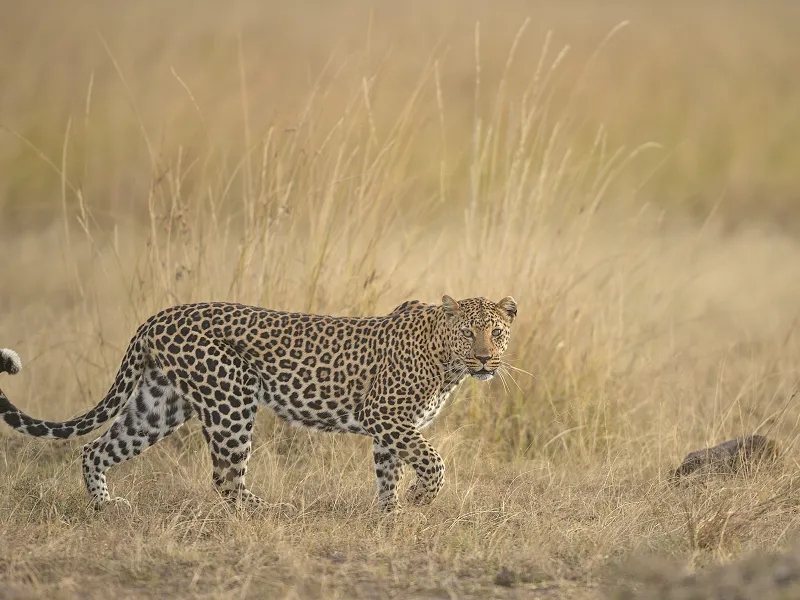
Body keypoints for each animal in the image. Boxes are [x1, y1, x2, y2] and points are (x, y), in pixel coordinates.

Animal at [0, 294, 517, 512]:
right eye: (468, 331)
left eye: (496, 331)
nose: (485, 357)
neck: (447, 363)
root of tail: (159, 316)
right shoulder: (385, 415)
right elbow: (433, 460)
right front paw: (418, 499)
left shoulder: (390, 427)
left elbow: (388, 470)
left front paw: (390, 512)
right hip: (231, 397)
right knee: (225, 476)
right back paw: (269, 510)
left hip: (160, 403)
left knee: (96, 448)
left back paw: (107, 506)